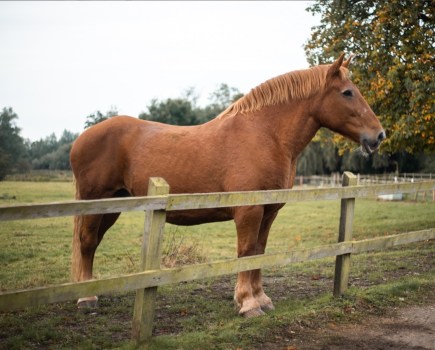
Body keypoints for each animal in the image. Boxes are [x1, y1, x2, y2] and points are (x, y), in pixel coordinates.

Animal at [70, 53, 384, 316]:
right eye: (347, 92)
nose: (378, 135)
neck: (265, 135)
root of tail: (82, 137)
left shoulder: (268, 212)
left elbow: (258, 251)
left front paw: (261, 299)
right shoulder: (249, 211)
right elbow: (245, 251)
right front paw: (248, 304)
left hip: (114, 205)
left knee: (93, 242)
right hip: (96, 202)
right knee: (87, 241)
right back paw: (86, 298)